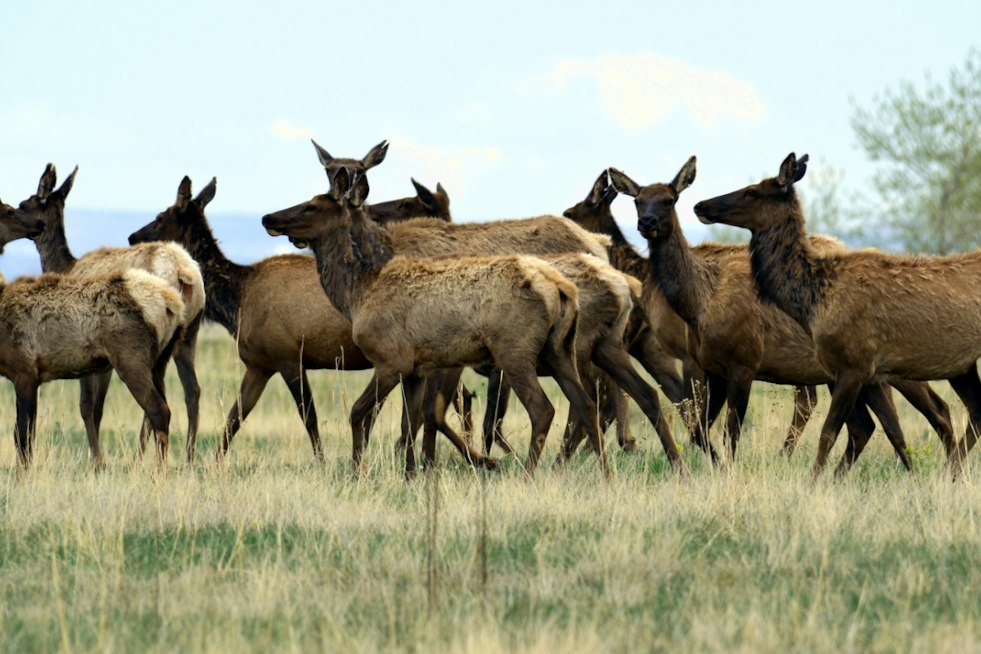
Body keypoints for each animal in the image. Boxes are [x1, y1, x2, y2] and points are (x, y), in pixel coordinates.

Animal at [17, 164, 206, 466]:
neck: (65, 265)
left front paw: (96, 461)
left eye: (24, 204)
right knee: (192, 390)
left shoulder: (88, 350)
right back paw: (187, 458)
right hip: (190, 332)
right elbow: (95, 408)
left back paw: (140, 458)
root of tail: (185, 274)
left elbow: (88, 407)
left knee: (159, 397)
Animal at [262, 170, 611, 478]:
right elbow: (410, 421)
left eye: (312, 205)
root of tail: (563, 289)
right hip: (560, 351)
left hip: (516, 352)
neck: (358, 292)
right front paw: (411, 474)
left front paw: (359, 472)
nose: (268, 218)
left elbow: (364, 413)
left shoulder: (393, 361)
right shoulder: (418, 368)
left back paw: (526, 473)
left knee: (545, 409)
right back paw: (603, 475)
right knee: (586, 404)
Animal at [693, 152, 980, 477]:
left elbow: (829, 433)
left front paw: (813, 483)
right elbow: (891, 430)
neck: (814, 302)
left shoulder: (853, 365)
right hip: (963, 367)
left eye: (752, 191)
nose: (700, 205)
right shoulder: (868, 372)